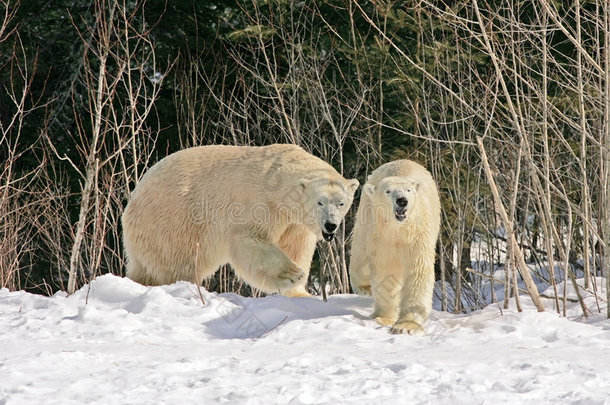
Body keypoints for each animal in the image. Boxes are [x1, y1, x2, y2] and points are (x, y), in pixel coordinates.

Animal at [120, 144, 356, 296]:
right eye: (320, 202)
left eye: (341, 203)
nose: (330, 225)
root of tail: (133, 198)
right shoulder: (260, 203)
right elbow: (250, 239)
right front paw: (291, 275)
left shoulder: (295, 222)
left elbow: (296, 247)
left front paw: (300, 292)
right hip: (171, 221)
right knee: (176, 262)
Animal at [350, 159, 440, 332]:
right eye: (388, 191)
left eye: (408, 190)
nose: (402, 201)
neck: (398, 230)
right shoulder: (382, 240)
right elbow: (387, 272)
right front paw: (384, 318)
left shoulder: (417, 237)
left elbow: (417, 271)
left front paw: (406, 326)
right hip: (366, 209)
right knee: (360, 249)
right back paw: (364, 287)